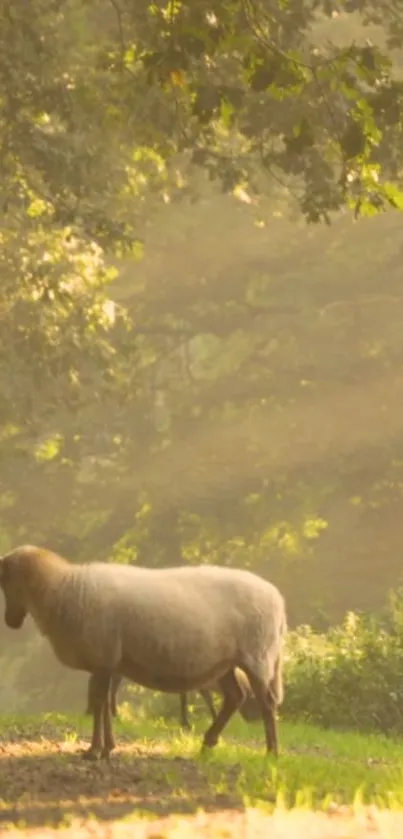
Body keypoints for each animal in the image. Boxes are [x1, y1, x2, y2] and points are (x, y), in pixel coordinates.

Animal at [0, 540, 288, 764]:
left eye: (5, 580)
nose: (10, 622)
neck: (62, 588)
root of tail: (277, 598)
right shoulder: (106, 662)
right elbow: (103, 703)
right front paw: (108, 747)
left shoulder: (103, 658)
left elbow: (99, 703)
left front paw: (95, 750)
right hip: (226, 662)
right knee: (235, 697)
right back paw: (208, 743)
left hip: (257, 655)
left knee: (266, 702)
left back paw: (271, 752)